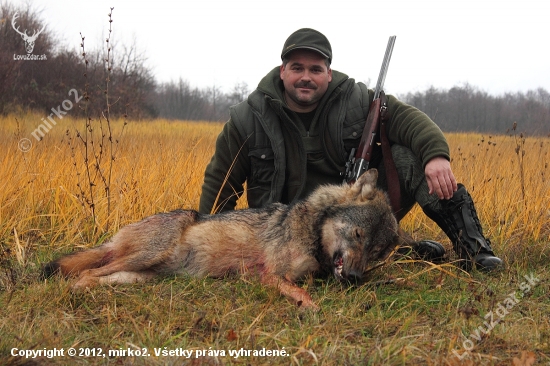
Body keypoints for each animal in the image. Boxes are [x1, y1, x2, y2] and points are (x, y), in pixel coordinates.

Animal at [42, 169, 396, 308]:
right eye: (357, 234)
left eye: (375, 251)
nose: (354, 277)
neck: (310, 228)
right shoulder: (270, 275)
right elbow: (304, 293)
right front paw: (310, 306)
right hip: (148, 255)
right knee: (86, 272)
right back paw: (73, 291)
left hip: (139, 277)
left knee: (96, 276)